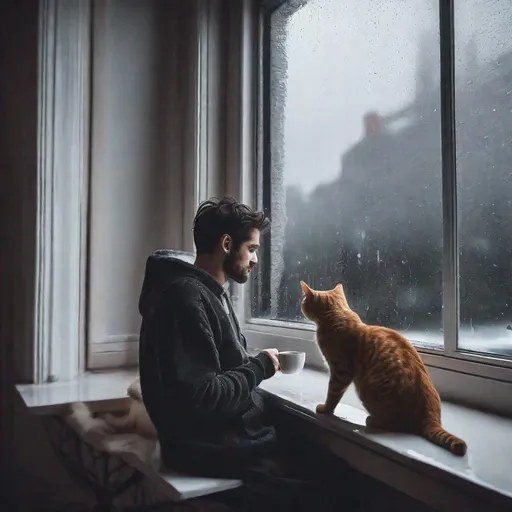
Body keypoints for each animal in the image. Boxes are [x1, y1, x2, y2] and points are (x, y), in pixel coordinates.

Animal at [300, 280, 468, 456]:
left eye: (304, 301)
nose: (301, 304)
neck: (336, 314)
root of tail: (431, 416)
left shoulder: (341, 371)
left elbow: (333, 394)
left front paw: (325, 409)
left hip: (369, 392)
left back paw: (372, 420)